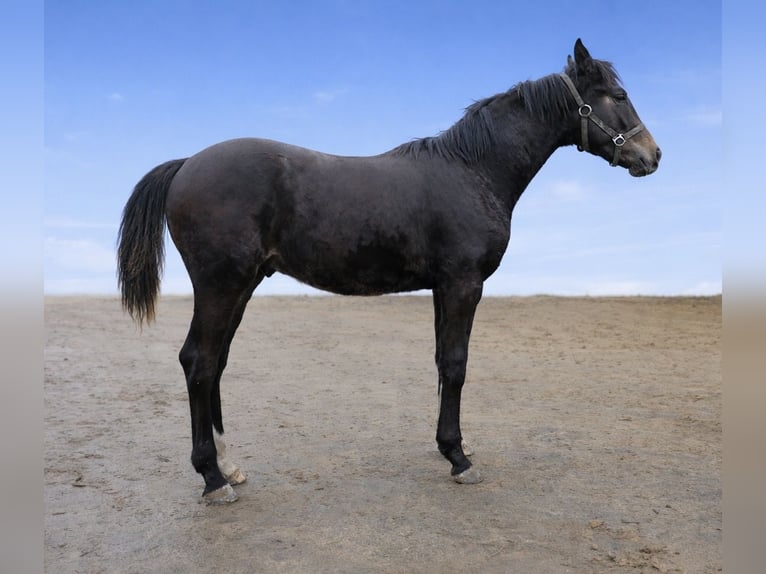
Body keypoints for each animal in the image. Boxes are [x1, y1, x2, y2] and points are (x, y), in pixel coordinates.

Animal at [117, 39, 660, 504]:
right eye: (618, 96)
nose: (651, 156)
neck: (472, 171)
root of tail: (188, 163)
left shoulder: (444, 287)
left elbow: (442, 362)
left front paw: (451, 447)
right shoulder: (463, 284)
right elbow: (457, 364)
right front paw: (459, 458)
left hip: (242, 285)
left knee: (216, 365)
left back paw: (229, 467)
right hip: (221, 284)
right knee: (198, 362)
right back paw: (212, 479)